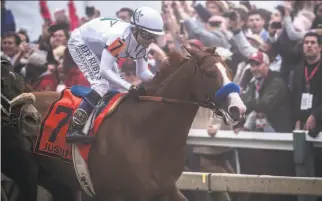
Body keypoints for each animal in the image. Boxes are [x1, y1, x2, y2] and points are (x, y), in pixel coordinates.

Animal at [3, 47, 245, 201]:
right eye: (211, 73)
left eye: (230, 71)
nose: (238, 109)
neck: (147, 135)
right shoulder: (117, 195)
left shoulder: (166, 190)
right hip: (25, 172)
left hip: (56, 181)